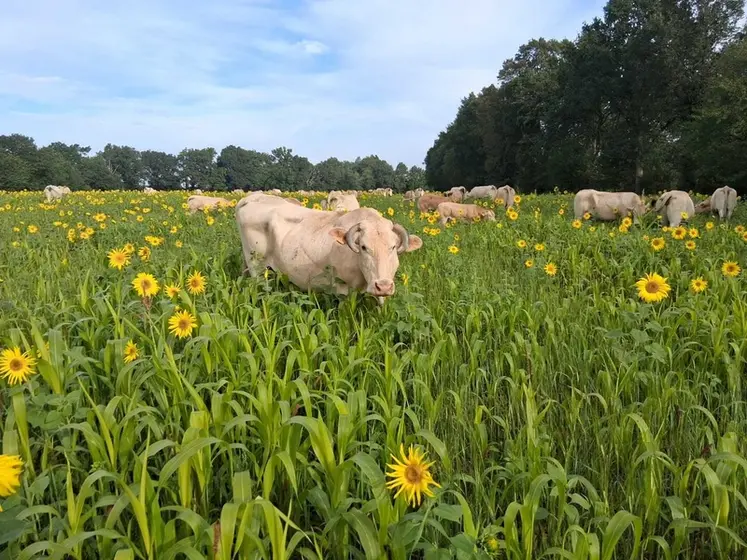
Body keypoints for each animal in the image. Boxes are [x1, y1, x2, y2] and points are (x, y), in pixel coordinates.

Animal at [235, 197, 423, 304]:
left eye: (393, 247)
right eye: (363, 247)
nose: (383, 286)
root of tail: (251, 198)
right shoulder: (342, 288)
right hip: (256, 267)